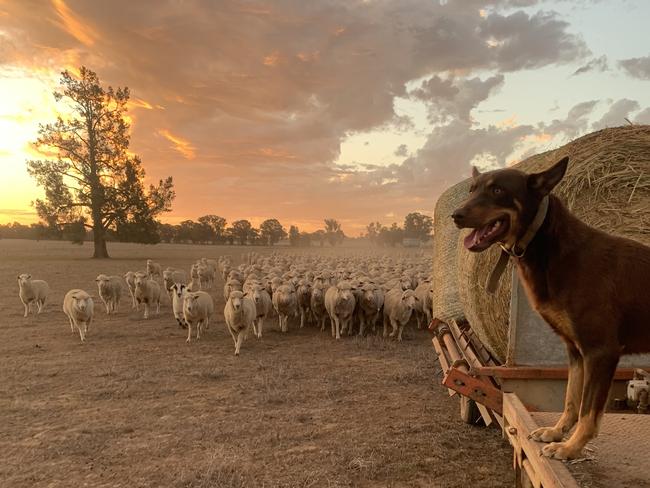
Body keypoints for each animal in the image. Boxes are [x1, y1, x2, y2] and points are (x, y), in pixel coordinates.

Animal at [450, 158, 648, 460]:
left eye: (497, 190)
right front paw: (556, 433)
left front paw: (571, 447)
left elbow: (588, 410)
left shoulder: (600, 351)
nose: (456, 215)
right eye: (472, 190)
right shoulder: (575, 351)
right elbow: (571, 399)